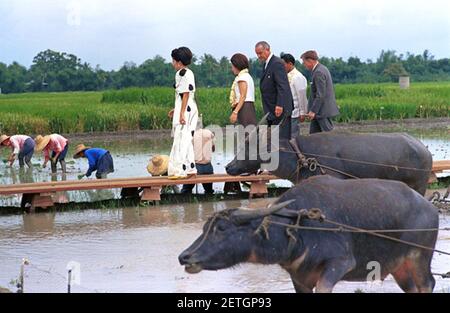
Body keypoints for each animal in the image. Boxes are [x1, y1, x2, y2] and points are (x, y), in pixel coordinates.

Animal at [180, 176, 440, 292]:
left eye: (221, 229)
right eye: (205, 228)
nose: (184, 256)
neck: (298, 230)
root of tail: (428, 206)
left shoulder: (339, 263)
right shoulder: (299, 278)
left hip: (419, 258)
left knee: (428, 283)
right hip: (400, 266)